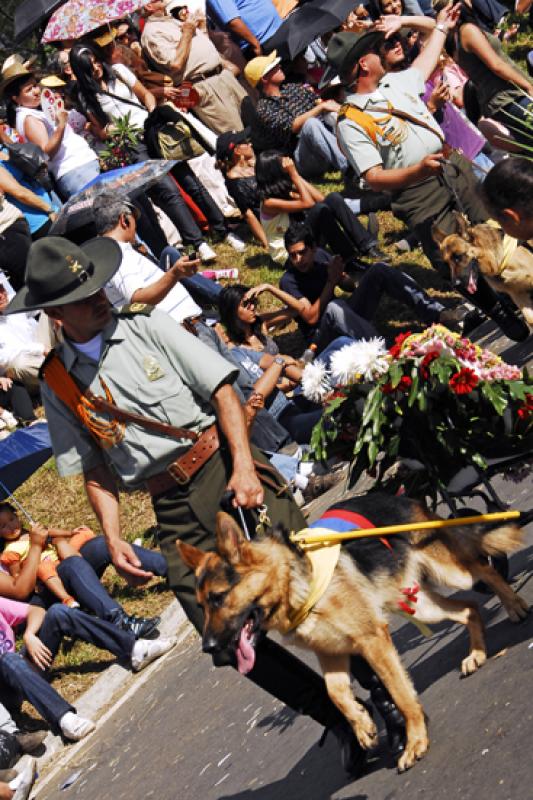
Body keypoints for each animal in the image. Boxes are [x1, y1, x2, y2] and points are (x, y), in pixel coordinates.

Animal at [176, 494, 528, 776]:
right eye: (201, 605)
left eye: (218, 598)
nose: (209, 647)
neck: (293, 583)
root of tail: (394, 494)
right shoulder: (332, 654)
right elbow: (335, 693)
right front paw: (362, 725)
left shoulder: (372, 640)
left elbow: (401, 694)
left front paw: (415, 742)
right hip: (421, 606)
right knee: (469, 608)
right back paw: (477, 654)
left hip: (452, 573)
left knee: (485, 569)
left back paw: (514, 605)